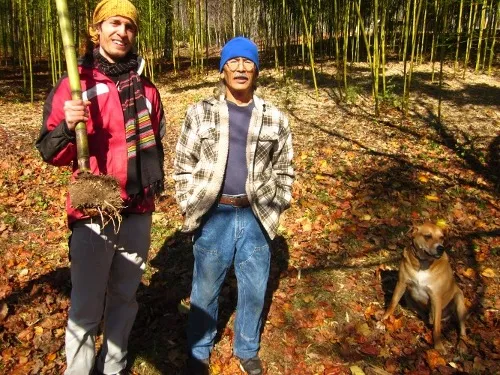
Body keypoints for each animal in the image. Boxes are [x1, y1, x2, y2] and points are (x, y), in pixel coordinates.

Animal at [382, 223, 468, 356]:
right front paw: (384, 320)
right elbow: (393, 303)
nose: (441, 248)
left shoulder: (436, 297)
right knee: (424, 315)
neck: (423, 264)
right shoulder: (401, 284)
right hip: (408, 298)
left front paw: (438, 346)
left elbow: (437, 328)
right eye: (428, 236)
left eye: (442, 237)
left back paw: (462, 345)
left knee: (462, 328)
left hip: (459, 301)